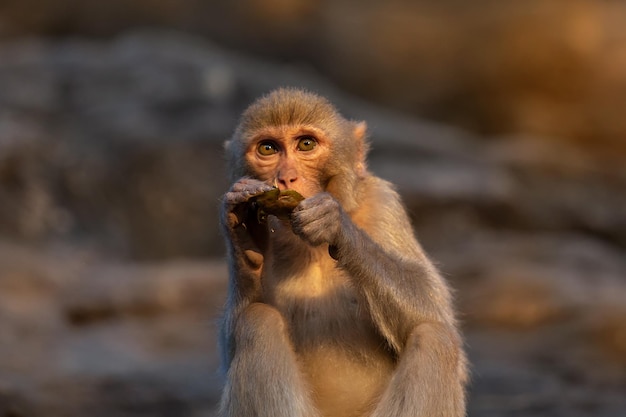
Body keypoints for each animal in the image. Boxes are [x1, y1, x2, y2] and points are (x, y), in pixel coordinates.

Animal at [217, 88, 466, 416]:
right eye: (268, 149)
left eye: (306, 144)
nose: (286, 178)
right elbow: (229, 348)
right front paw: (246, 239)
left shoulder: (383, 201)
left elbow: (433, 307)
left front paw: (335, 224)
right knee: (256, 320)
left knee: (435, 338)